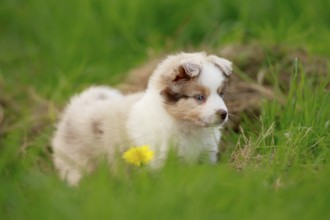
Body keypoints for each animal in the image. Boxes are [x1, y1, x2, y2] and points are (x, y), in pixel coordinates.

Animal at [51, 52, 232, 185]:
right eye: (199, 97)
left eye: (221, 93)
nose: (223, 114)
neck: (188, 126)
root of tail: (76, 106)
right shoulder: (161, 161)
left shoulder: (205, 156)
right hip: (76, 165)